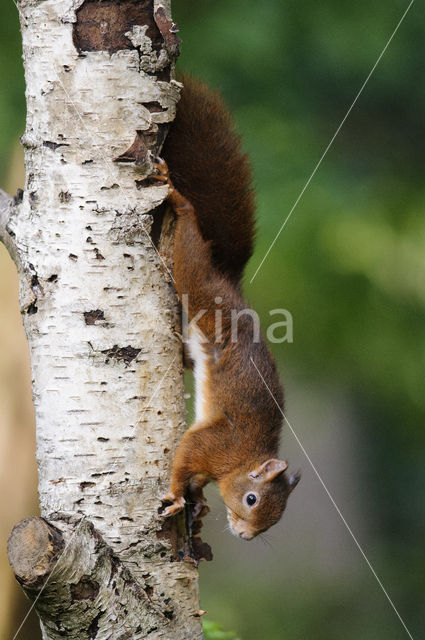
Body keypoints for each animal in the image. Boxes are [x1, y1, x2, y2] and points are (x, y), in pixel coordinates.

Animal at [152, 77, 298, 544]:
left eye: (278, 518)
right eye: (252, 499)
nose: (246, 536)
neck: (242, 458)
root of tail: (231, 284)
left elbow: (196, 480)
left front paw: (196, 502)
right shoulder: (213, 444)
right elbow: (184, 458)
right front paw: (177, 495)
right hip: (200, 287)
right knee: (192, 250)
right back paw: (178, 200)